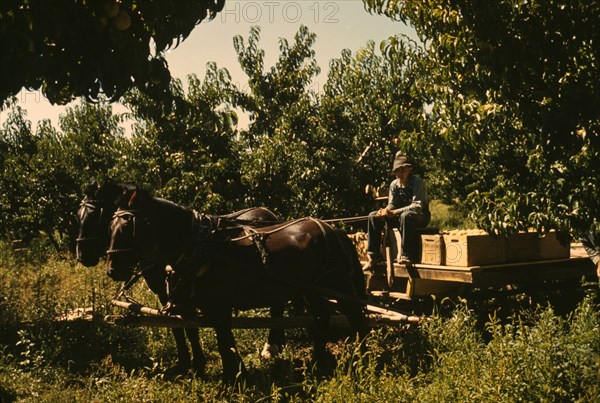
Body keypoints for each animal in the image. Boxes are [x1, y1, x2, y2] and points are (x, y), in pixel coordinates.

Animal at [75, 181, 286, 374]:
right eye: (79, 215)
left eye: (95, 215)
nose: (82, 256)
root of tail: (267, 213)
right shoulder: (166, 294)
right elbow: (178, 326)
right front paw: (186, 363)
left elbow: (189, 327)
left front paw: (196, 364)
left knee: (277, 308)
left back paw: (271, 348)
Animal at [105, 188, 368, 384]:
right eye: (110, 227)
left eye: (128, 227)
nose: (111, 269)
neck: (200, 245)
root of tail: (336, 231)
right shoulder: (194, 302)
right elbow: (201, 333)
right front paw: (216, 370)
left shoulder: (217, 305)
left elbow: (223, 340)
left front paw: (234, 376)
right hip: (310, 290)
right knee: (321, 317)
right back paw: (317, 363)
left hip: (337, 286)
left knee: (355, 317)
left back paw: (361, 359)